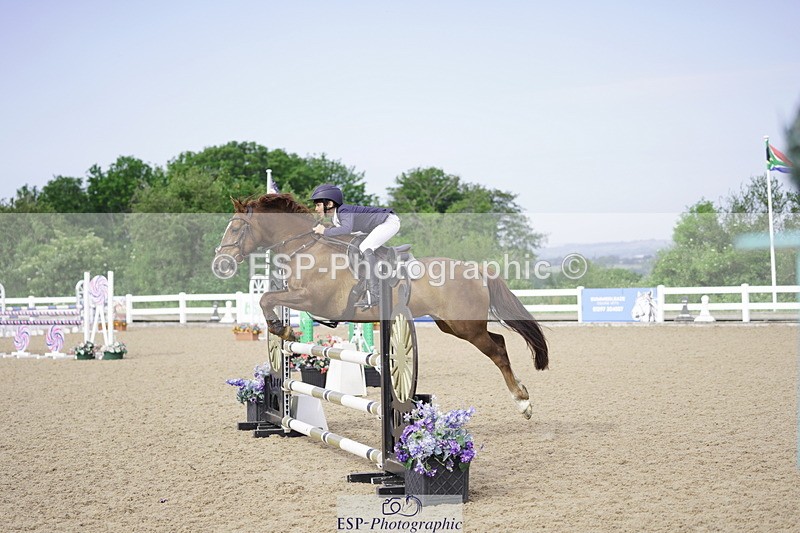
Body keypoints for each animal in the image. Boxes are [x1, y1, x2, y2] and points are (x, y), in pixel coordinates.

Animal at [212, 193, 548, 419]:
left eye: (236, 229)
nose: (220, 264)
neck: (306, 248)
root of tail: (477, 269)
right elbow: (267, 298)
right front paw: (284, 331)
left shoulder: (311, 298)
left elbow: (266, 298)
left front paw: (282, 330)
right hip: (452, 325)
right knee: (499, 341)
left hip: (466, 326)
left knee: (498, 350)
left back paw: (523, 401)